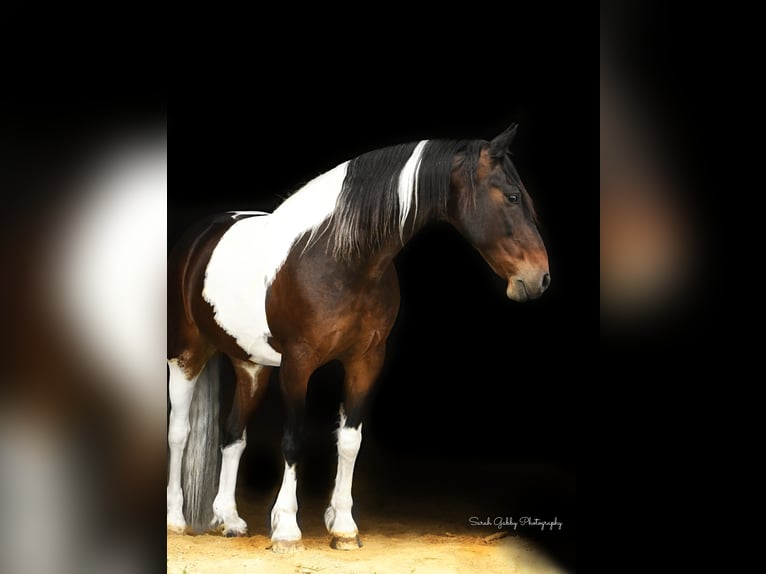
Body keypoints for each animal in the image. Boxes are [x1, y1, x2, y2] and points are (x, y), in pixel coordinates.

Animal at [168, 124, 552, 556]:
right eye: (513, 196)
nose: (539, 278)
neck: (339, 257)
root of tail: (201, 236)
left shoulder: (365, 360)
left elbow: (350, 440)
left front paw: (344, 527)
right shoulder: (298, 364)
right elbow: (293, 441)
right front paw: (287, 529)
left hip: (251, 366)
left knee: (233, 434)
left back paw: (229, 519)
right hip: (186, 355)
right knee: (179, 432)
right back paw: (176, 519)